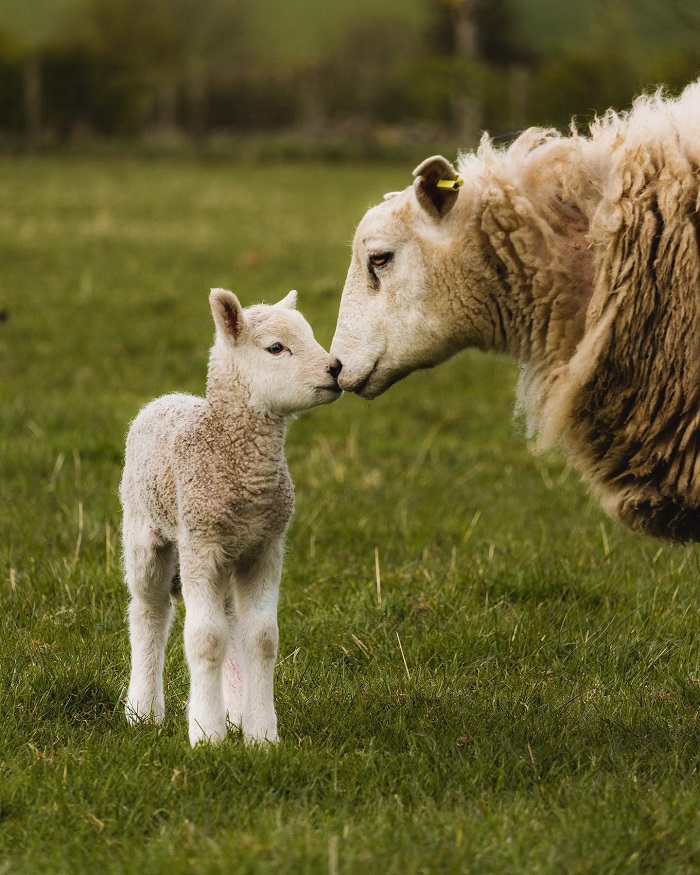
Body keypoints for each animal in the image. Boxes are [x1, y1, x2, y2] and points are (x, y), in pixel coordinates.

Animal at [119, 290, 342, 744]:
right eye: (276, 348)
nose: (335, 368)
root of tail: (165, 398)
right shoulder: (201, 541)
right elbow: (205, 639)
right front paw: (206, 735)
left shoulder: (265, 546)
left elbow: (262, 638)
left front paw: (262, 736)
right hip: (144, 529)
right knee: (149, 610)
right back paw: (143, 711)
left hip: (228, 555)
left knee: (230, 621)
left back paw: (235, 713)